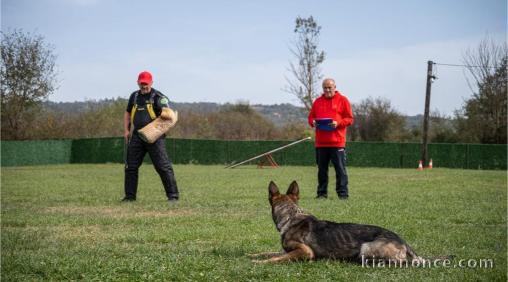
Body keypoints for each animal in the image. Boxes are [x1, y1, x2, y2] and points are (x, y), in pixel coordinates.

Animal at [250, 181, 448, 264]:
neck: (291, 216)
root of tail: (402, 240)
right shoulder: (288, 250)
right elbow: (268, 252)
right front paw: (253, 255)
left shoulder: (305, 252)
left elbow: (277, 258)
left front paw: (260, 263)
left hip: (366, 249)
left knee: (401, 262)